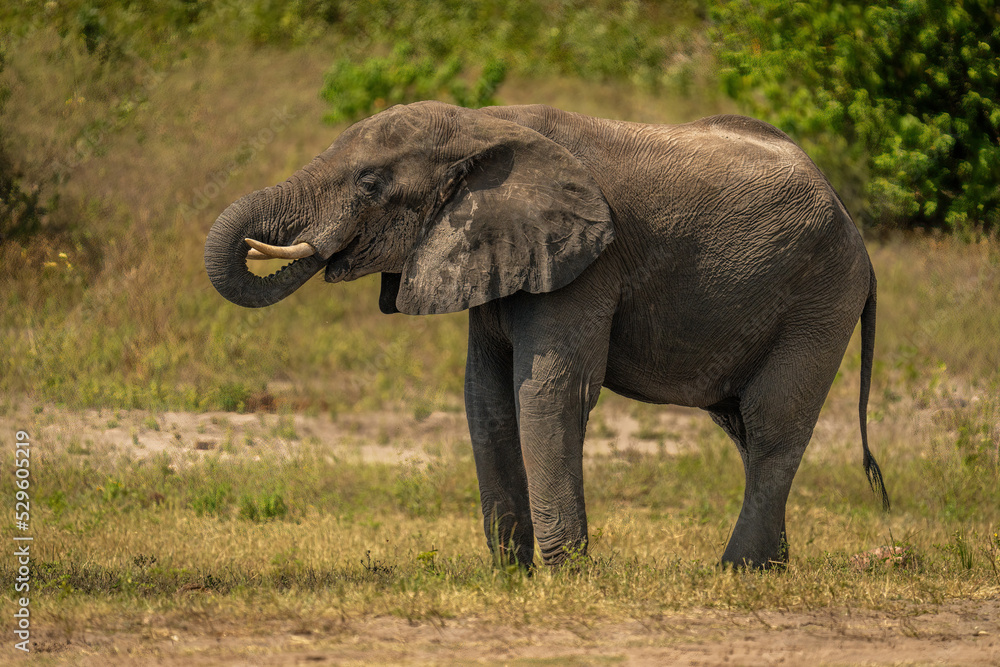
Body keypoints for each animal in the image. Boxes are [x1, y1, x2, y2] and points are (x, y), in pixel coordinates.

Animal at [205, 102, 892, 572]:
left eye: (370, 184)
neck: (481, 126)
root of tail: (856, 232)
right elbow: (484, 396)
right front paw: (511, 573)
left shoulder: (587, 260)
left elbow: (552, 390)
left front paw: (566, 574)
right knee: (744, 429)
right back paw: (772, 566)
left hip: (819, 298)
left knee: (773, 422)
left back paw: (737, 572)